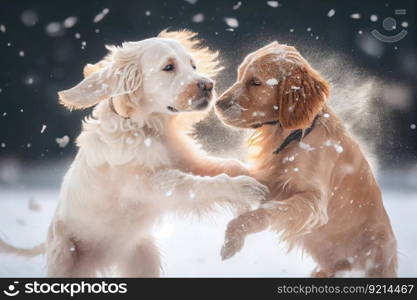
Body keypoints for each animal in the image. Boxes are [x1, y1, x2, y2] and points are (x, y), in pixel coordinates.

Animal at [0, 30, 264, 276]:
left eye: (193, 65)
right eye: (168, 67)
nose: (208, 86)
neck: (146, 128)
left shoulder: (186, 161)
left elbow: (228, 165)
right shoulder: (147, 185)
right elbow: (194, 184)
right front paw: (245, 188)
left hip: (143, 257)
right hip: (66, 257)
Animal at [214, 41, 396, 278]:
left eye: (255, 82)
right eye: (239, 75)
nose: (218, 103)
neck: (294, 136)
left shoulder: (313, 202)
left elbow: (265, 213)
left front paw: (233, 239)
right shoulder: (269, 180)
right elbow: (235, 171)